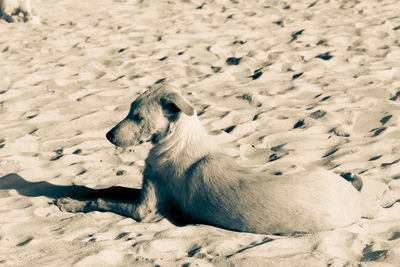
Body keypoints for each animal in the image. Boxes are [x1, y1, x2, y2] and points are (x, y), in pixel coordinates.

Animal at [56, 85, 378, 234]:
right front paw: (77, 190)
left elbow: (101, 201)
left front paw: (70, 203)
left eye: (137, 117)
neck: (175, 142)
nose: (108, 135)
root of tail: (359, 201)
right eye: (129, 112)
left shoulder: (144, 210)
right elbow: (110, 188)